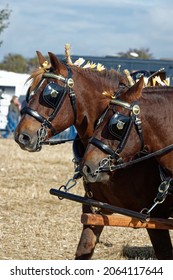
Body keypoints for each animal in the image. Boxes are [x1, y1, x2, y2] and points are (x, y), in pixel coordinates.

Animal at [14, 52, 171, 258]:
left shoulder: (156, 219)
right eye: (30, 92)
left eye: (51, 94)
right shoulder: (94, 210)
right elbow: (84, 249)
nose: (21, 136)